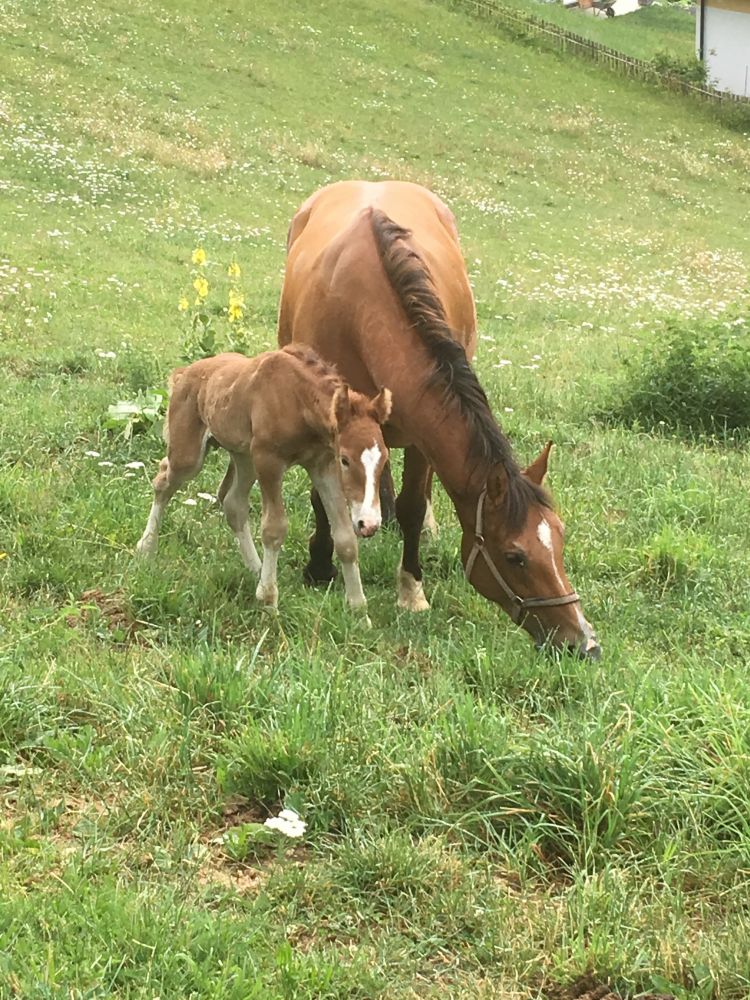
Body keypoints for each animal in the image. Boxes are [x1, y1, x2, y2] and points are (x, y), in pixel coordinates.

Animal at [137, 348, 394, 612]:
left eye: (384, 458)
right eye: (345, 460)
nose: (369, 524)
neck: (297, 399)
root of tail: (183, 374)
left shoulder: (322, 465)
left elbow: (345, 536)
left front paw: (359, 608)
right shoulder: (268, 460)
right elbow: (274, 528)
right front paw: (269, 600)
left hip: (244, 458)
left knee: (233, 503)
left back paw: (256, 568)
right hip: (190, 456)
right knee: (163, 482)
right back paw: (146, 547)